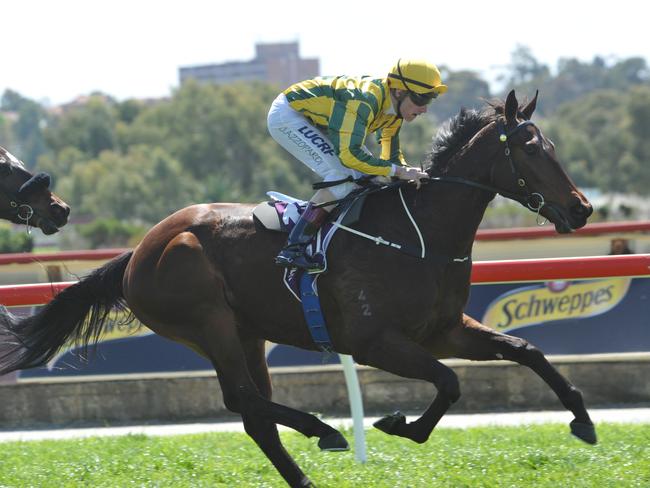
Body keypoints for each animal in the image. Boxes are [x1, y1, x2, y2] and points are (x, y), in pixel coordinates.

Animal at [0, 91, 596, 484]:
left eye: (551, 145)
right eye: (530, 149)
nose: (581, 209)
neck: (420, 231)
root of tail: (139, 250)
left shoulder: (444, 330)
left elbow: (525, 349)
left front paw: (584, 421)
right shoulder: (375, 341)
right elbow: (448, 383)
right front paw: (400, 424)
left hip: (246, 333)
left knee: (253, 414)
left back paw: (307, 468)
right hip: (208, 321)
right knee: (244, 399)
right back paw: (323, 430)